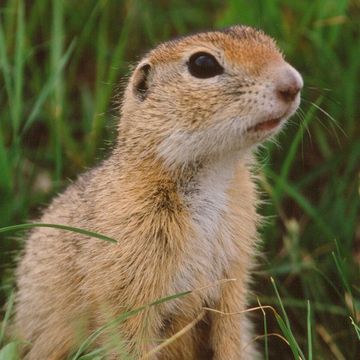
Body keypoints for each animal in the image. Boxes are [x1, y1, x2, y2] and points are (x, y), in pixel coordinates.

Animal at [14, 26, 302, 360]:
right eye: (203, 64)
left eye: (266, 40)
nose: (293, 84)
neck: (213, 174)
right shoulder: (128, 284)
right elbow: (129, 338)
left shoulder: (234, 276)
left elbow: (229, 332)